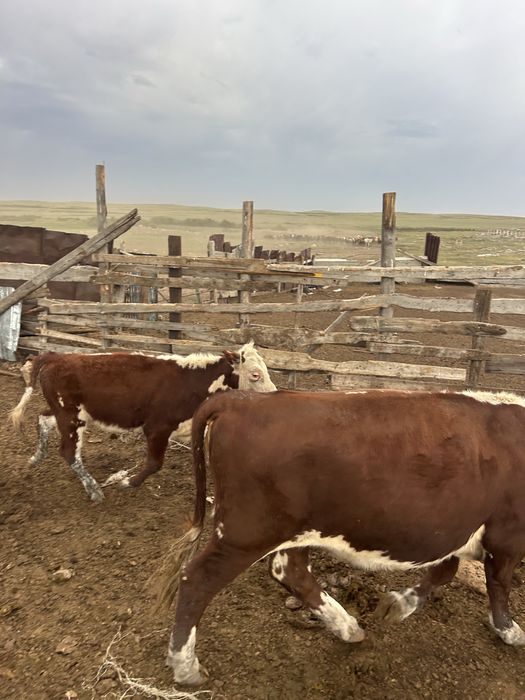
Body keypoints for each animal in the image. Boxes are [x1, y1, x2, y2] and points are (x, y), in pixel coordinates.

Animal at [9, 342, 276, 503]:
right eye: (255, 374)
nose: (274, 396)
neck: (192, 380)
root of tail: (57, 357)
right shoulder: (157, 427)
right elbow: (155, 463)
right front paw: (127, 482)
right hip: (71, 417)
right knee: (68, 452)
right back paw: (94, 490)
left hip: (67, 413)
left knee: (43, 419)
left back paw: (36, 457)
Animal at [152, 388, 525, 686]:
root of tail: (242, 400)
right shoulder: (507, 535)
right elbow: (498, 583)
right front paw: (508, 630)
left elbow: (445, 571)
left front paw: (398, 604)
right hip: (245, 532)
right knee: (196, 580)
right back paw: (185, 667)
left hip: (289, 531)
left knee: (291, 572)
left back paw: (346, 626)